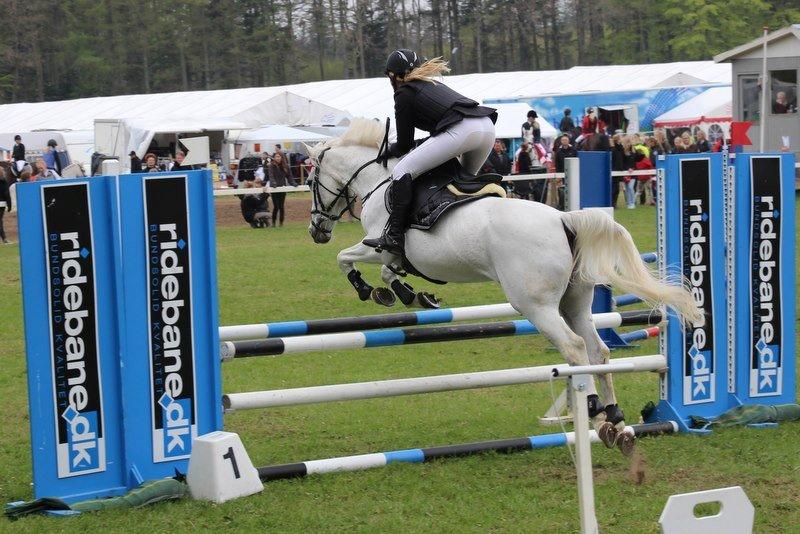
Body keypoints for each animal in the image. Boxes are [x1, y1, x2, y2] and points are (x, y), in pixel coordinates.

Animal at [305, 118, 702, 452]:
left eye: (310, 183)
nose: (316, 231)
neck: (381, 181)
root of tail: (563, 219)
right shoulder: (395, 256)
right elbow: (390, 273)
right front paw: (412, 295)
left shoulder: (379, 246)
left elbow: (348, 259)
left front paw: (373, 290)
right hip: (574, 304)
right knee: (598, 350)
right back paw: (613, 418)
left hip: (536, 306)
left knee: (574, 348)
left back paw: (589, 405)